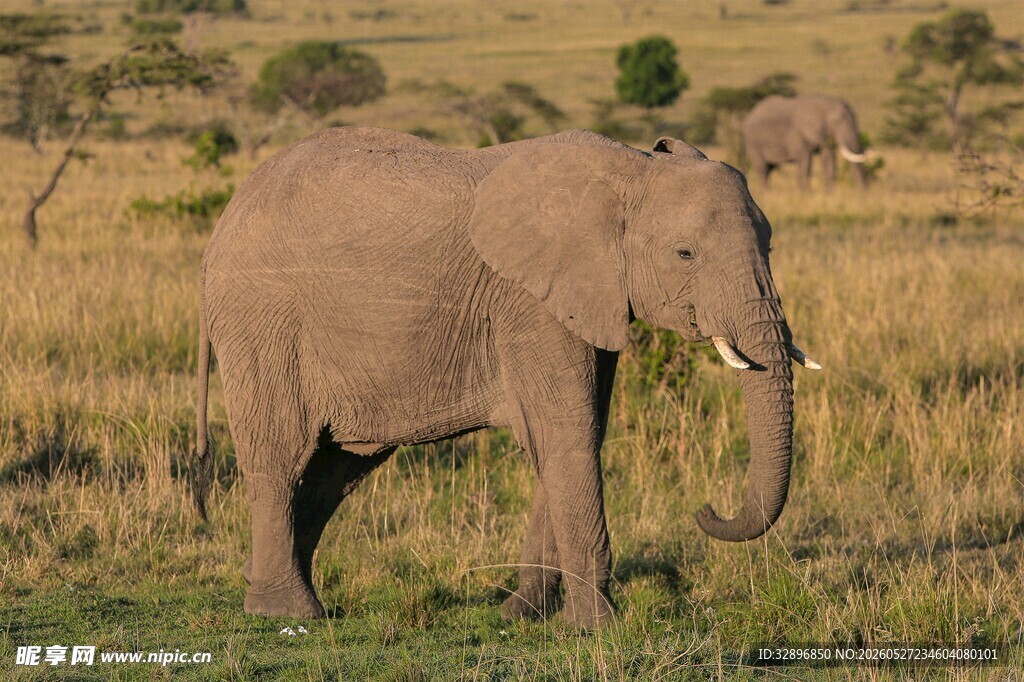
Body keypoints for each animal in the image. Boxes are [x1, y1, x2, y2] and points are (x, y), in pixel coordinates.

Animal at [190, 127, 821, 627]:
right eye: (685, 254)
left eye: (770, 244)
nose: (706, 510)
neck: (629, 170)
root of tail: (221, 225)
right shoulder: (530, 302)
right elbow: (567, 432)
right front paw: (596, 627)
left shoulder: (587, 295)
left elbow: (575, 434)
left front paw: (522, 615)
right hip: (264, 324)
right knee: (282, 456)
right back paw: (287, 612)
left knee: (336, 469)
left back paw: (265, 586)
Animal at [741, 94, 870, 189]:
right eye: (835, 122)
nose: (863, 193)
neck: (826, 103)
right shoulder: (800, 135)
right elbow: (805, 164)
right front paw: (804, 195)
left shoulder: (824, 134)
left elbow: (829, 161)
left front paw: (830, 195)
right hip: (753, 143)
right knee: (762, 169)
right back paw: (766, 194)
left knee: (770, 169)